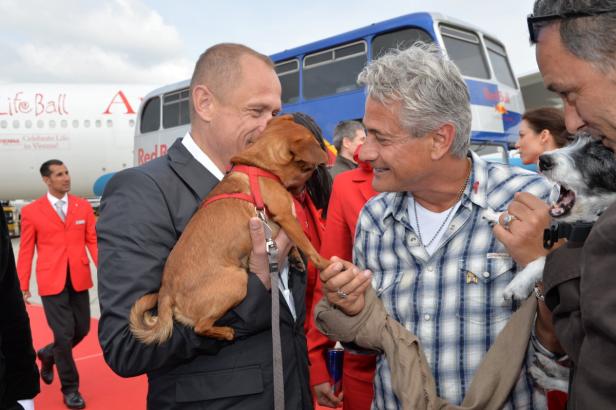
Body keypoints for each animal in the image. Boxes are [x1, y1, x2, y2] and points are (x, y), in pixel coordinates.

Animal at [129, 113, 332, 344]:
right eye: (309, 166)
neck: (260, 165)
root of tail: (166, 293)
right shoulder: (286, 216)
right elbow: (307, 245)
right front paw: (324, 263)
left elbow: (293, 244)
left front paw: (295, 257)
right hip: (238, 281)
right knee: (200, 327)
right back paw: (226, 332)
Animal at [484, 132, 616, 302]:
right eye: (571, 142)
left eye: (597, 157)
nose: (543, 160)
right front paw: (496, 214)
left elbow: (547, 258)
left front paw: (519, 284)